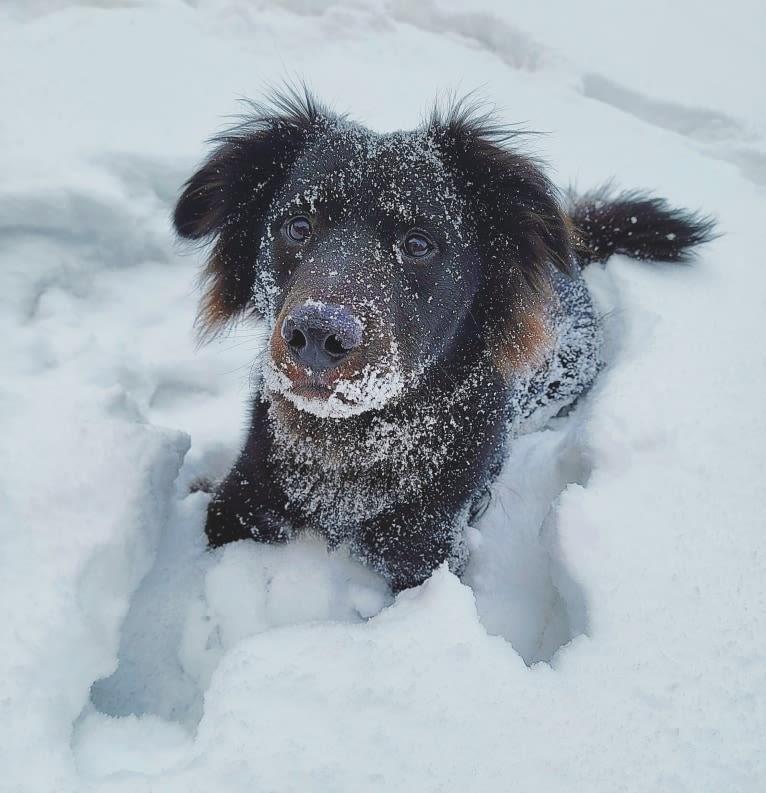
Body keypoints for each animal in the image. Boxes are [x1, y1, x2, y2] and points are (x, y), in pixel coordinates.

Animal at [172, 89, 712, 592]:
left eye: (417, 243)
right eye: (298, 226)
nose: (317, 333)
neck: (357, 447)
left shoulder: (428, 551)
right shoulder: (240, 501)